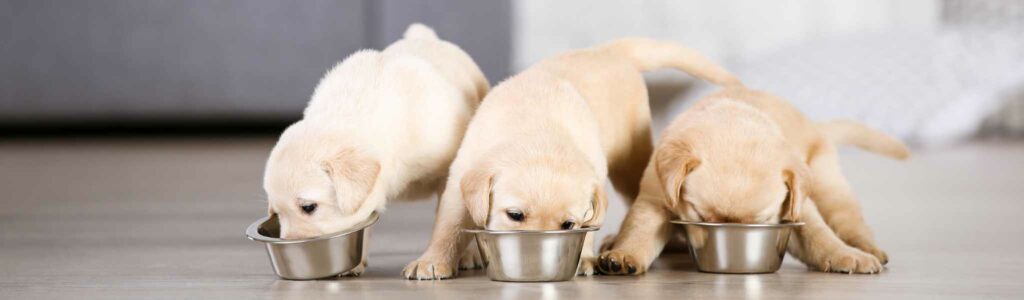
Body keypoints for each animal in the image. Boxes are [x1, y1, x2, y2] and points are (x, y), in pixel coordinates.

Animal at [262, 24, 489, 272]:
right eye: (276, 213)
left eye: (308, 207)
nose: (291, 247)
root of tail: (425, 37)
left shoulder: (448, 172)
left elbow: (449, 219)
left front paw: (433, 261)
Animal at [401, 38, 745, 278]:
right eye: (515, 215)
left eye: (567, 225)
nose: (533, 255)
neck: (536, 131)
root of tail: (608, 51)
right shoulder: (460, 180)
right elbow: (447, 226)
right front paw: (432, 261)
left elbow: (590, 225)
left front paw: (586, 257)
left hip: (630, 160)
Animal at [598, 86, 909, 272]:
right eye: (700, 215)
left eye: (761, 221)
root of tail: (816, 126)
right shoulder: (655, 198)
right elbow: (639, 230)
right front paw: (624, 255)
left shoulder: (796, 209)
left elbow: (818, 235)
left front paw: (845, 255)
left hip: (828, 183)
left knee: (849, 221)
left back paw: (864, 248)